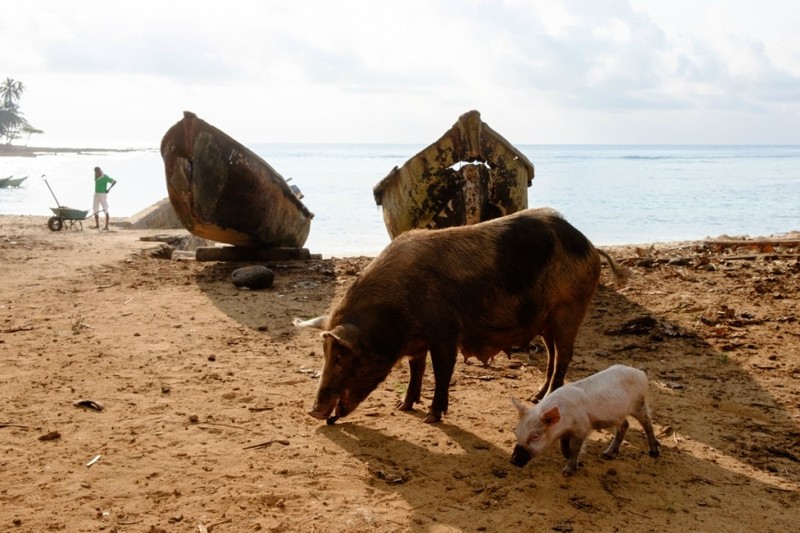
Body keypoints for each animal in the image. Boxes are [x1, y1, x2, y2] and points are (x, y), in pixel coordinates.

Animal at [294, 207, 624, 424]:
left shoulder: (446, 332)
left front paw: (431, 417)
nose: (313, 411)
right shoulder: (418, 342)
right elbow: (416, 369)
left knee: (564, 356)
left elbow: (442, 372)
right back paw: (535, 397)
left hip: (570, 308)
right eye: (325, 353)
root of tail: (589, 246)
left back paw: (546, 403)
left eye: (341, 355)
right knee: (553, 357)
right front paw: (402, 407)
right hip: (547, 321)